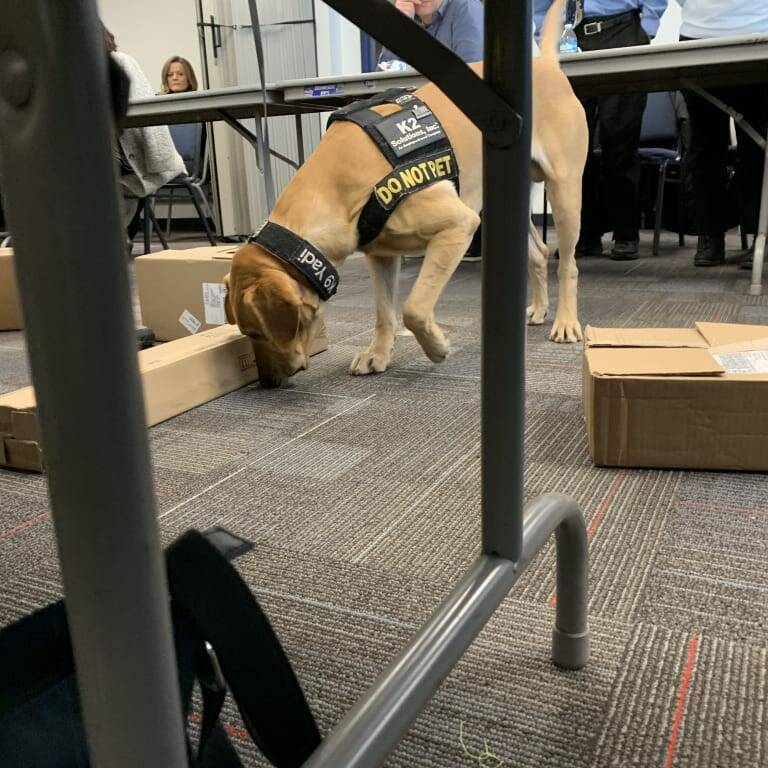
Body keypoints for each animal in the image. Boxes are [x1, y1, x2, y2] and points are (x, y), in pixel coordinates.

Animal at [225, 0, 584, 388]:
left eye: (256, 333)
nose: (265, 382)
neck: (335, 192)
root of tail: (545, 63)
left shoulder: (457, 225)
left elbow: (413, 307)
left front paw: (436, 346)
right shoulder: (381, 255)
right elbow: (385, 313)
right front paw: (378, 354)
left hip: (564, 194)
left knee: (568, 264)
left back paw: (565, 320)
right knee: (539, 252)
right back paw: (539, 307)